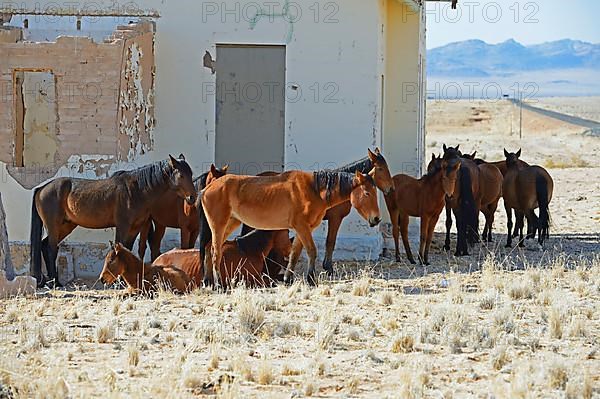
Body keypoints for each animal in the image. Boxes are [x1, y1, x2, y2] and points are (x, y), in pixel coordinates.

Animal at [29, 155, 195, 290]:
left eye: (191, 173)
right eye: (181, 175)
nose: (192, 198)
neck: (136, 191)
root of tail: (42, 188)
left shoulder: (135, 228)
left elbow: (127, 248)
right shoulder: (123, 226)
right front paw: (118, 282)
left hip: (66, 226)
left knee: (44, 246)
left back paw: (50, 281)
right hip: (53, 226)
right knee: (51, 249)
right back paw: (55, 282)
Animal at [154, 230, 292, 290]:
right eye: (287, 233)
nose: (290, 252)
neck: (248, 250)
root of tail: (156, 261)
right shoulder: (252, 280)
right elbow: (271, 281)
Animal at [202, 167, 380, 286]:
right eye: (367, 193)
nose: (376, 219)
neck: (313, 190)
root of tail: (207, 188)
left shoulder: (304, 229)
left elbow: (295, 253)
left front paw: (288, 279)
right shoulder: (302, 227)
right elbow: (311, 251)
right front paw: (310, 279)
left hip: (230, 223)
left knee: (208, 247)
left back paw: (208, 281)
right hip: (219, 225)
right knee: (215, 251)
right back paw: (218, 283)